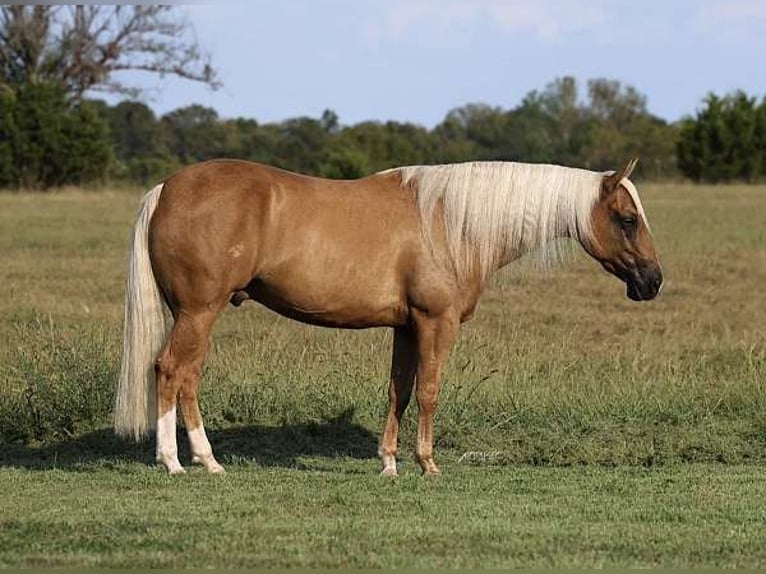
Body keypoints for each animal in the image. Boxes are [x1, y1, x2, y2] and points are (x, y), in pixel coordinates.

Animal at [115, 158, 663, 476]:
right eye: (627, 220)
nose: (653, 282)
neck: (452, 220)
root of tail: (166, 188)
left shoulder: (406, 326)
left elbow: (399, 390)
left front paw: (389, 463)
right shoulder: (436, 323)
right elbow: (429, 391)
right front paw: (428, 464)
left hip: (191, 315)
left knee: (184, 376)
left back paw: (199, 460)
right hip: (198, 312)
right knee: (173, 371)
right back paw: (182, 462)